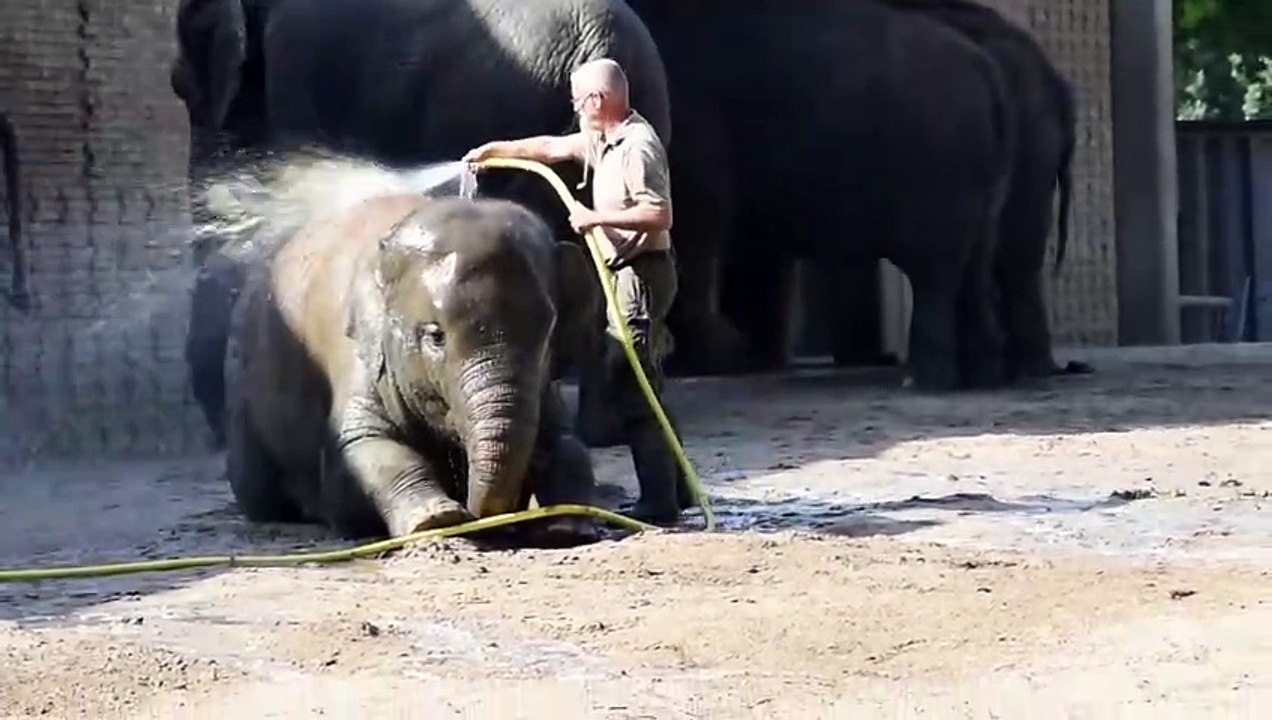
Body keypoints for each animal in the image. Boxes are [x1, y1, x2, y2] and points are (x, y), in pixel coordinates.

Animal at [220, 157, 603, 541]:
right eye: (435, 336)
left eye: (547, 331)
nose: (488, 520)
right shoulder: (360, 356)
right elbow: (365, 449)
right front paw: (436, 521)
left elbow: (569, 447)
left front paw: (564, 527)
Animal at [625, 0, 1016, 390]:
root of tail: (987, 70)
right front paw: (744, 357)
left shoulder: (696, 149)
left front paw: (712, 360)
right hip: (983, 188)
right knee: (974, 274)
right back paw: (982, 376)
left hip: (940, 170)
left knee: (935, 276)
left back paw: (926, 381)